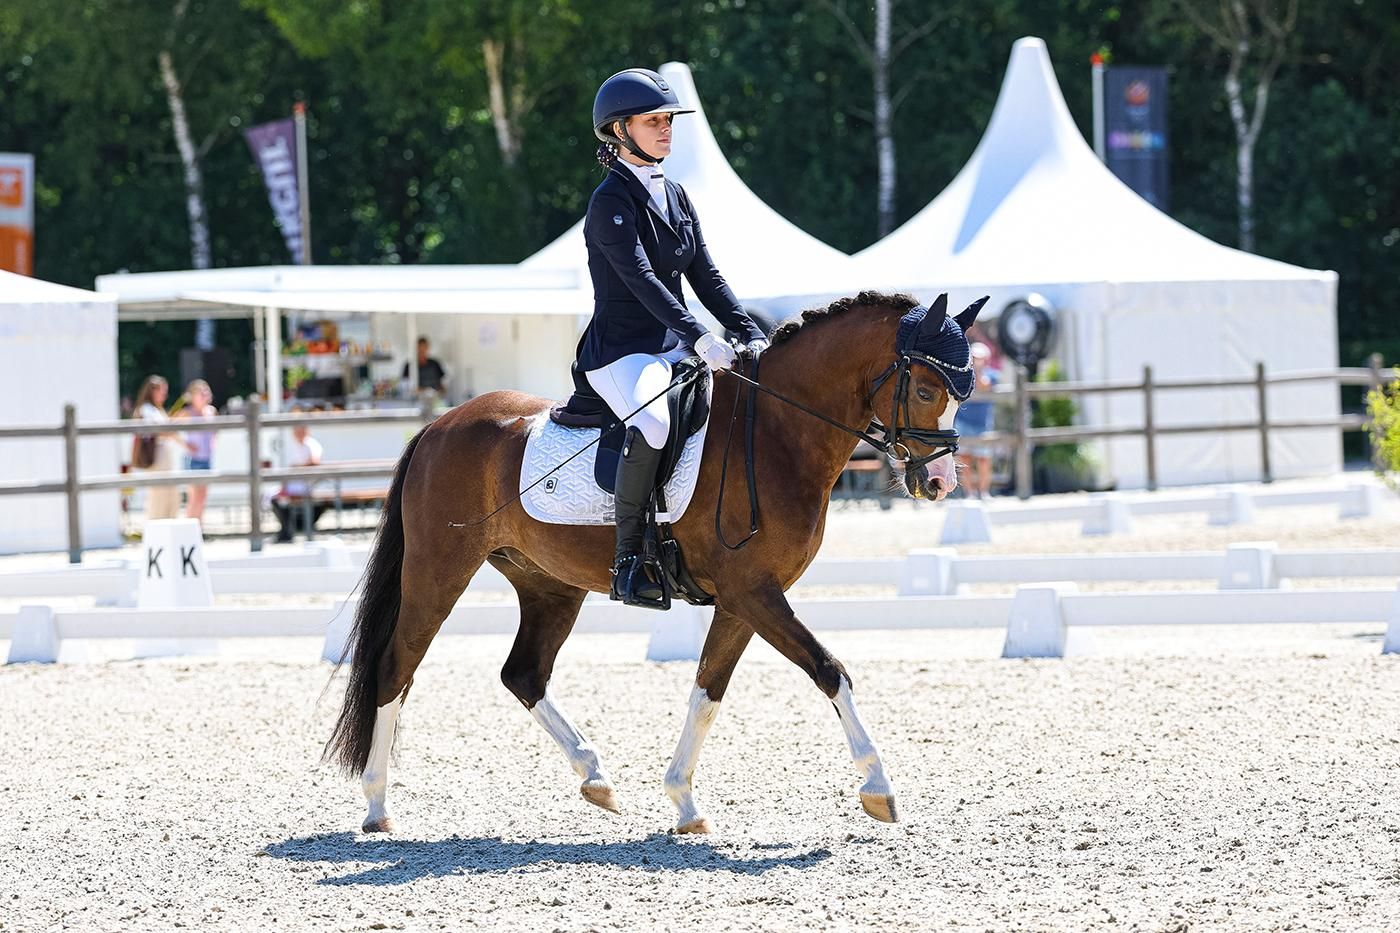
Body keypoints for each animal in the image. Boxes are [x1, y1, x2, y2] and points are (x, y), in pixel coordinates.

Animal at [326, 289, 984, 834]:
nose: (941, 482)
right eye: (926, 390)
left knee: (524, 674)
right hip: (438, 573)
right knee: (395, 667)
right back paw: (378, 806)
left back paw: (596, 778)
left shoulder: (743, 601)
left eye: (966, 391)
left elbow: (707, 692)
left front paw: (684, 803)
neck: (776, 431)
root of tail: (438, 426)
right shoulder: (754, 592)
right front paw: (878, 788)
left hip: (548, 584)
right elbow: (830, 670)